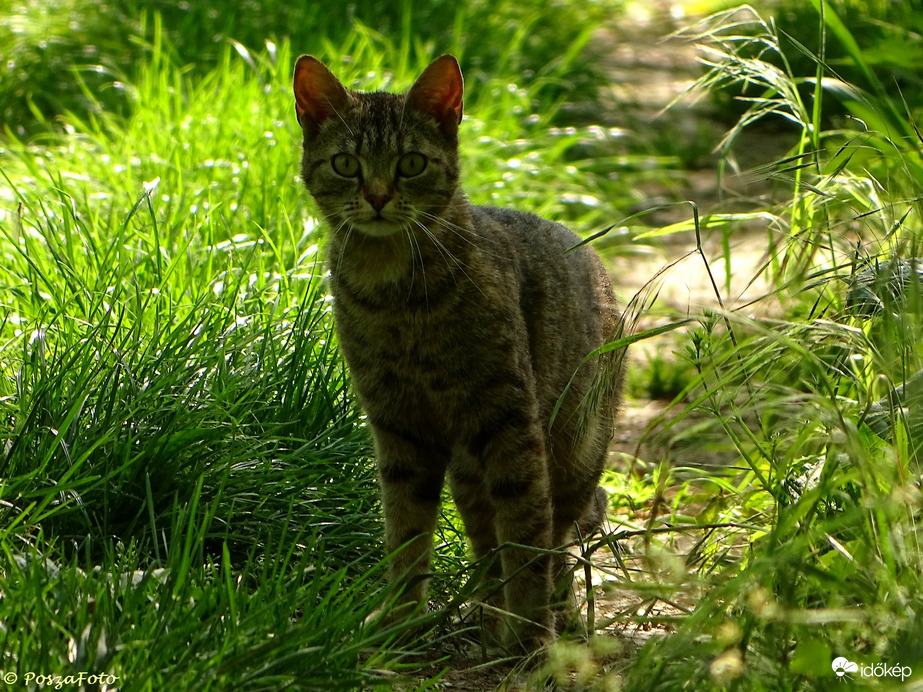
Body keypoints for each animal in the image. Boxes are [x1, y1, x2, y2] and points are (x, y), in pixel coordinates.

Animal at [294, 55, 628, 656]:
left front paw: (531, 631)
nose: (377, 196)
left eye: (410, 163)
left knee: (557, 534)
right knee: (488, 543)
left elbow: (527, 532)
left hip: (575, 446)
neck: (392, 292)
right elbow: (406, 532)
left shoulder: (509, 418)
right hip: (469, 471)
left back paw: (551, 618)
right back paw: (490, 620)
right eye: (347, 164)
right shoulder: (398, 425)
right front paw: (401, 619)